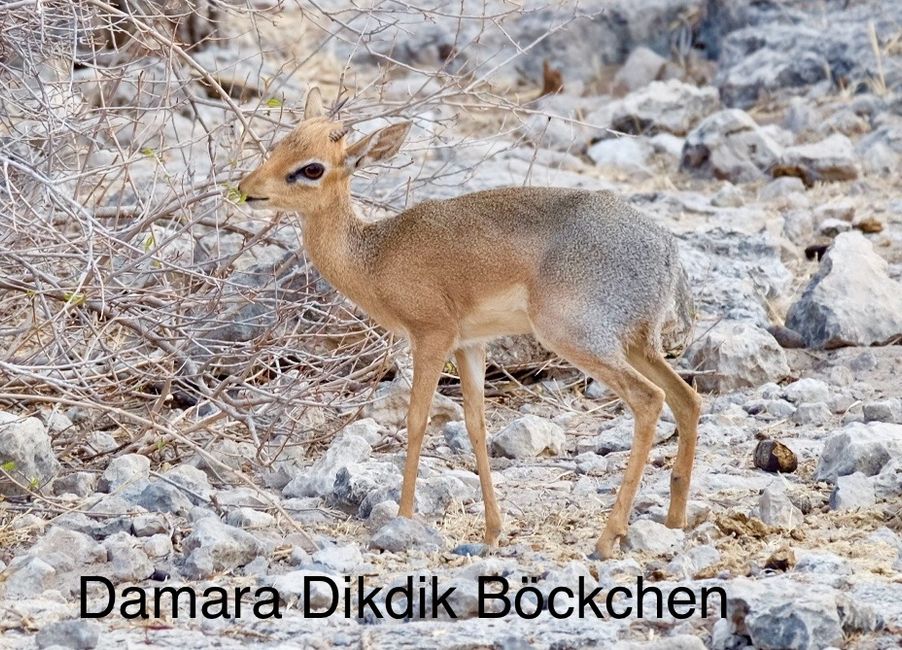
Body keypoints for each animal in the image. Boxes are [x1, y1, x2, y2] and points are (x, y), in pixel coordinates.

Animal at [242, 87, 708, 556]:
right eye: (280, 144)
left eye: (312, 168)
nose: (247, 190)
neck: (375, 255)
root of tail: (665, 249)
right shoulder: (469, 344)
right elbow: (476, 425)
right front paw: (492, 532)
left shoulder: (431, 336)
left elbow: (417, 421)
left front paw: (404, 518)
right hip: (636, 343)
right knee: (687, 398)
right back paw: (674, 520)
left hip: (578, 339)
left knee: (649, 399)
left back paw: (609, 536)